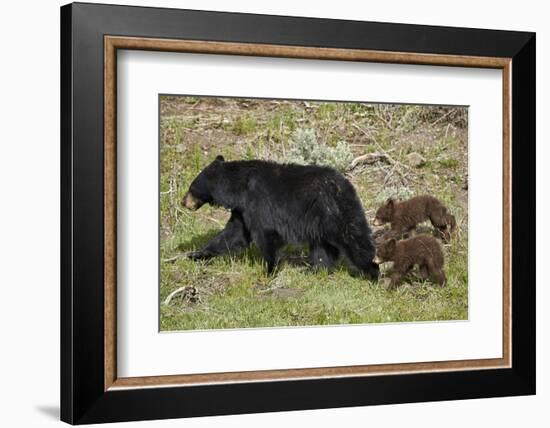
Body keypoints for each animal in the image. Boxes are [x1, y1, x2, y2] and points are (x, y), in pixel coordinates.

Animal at [183, 155, 382, 280]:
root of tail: (346, 184)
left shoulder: (259, 203)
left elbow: (266, 235)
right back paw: (314, 270)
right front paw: (196, 254)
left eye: (191, 188)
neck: (240, 188)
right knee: (323, 249)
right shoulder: (243, 210)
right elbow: (233, 235)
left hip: (335, 213)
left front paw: (268, 271)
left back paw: (373, 272)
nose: (183, 202)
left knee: (354, 240)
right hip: (321, 222)